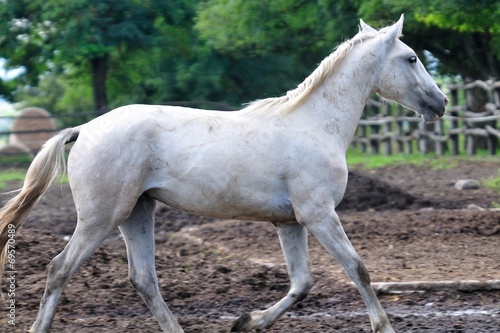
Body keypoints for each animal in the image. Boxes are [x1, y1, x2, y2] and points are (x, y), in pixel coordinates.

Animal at [0, 15, 446, 332]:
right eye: (411, 58)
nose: (440, 102)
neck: (315, 125)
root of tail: (85, 128)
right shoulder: (319, 214)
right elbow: (358, 269)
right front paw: (384, 327)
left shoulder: (290, 223)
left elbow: (302, 283)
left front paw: (246, 322)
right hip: (101, 217)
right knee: (60, 268)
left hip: (137, 213)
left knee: (143, 279)